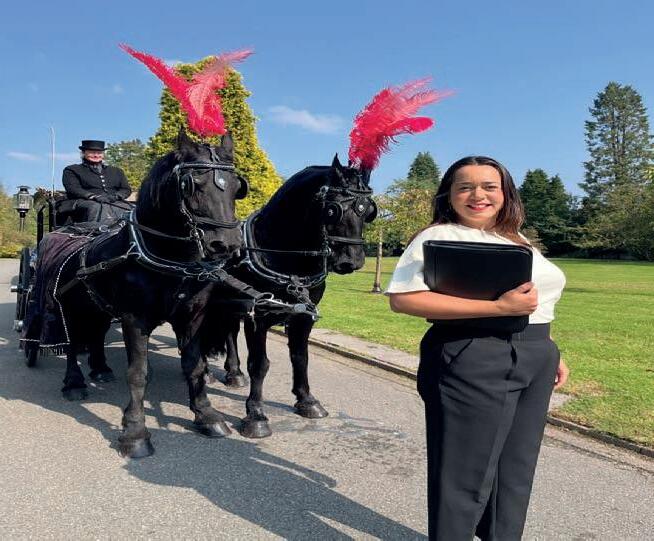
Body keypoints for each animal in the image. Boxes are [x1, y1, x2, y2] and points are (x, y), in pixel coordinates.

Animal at [26, 129, 247, 457]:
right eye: (192, 183)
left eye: (236, 186)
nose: (227, 245)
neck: (167, 257)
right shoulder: (134, 319)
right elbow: (138, 373)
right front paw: (135, 432)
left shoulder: (192, 317)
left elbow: (195, 365)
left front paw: (206, 415)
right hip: (69, 309)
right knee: (73, 343)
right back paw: (74, 383)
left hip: (97, 307)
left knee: (95, 334)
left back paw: (100, 368)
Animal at [200, 154, 377, 438]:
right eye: (332, 209)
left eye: (369, 210)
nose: (352, 261)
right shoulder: (258, 317)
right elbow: (259, 364)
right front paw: (255, 415)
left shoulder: (304, 317)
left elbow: (300, 358)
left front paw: (307, 400)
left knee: (229, 333)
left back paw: (234, 373)